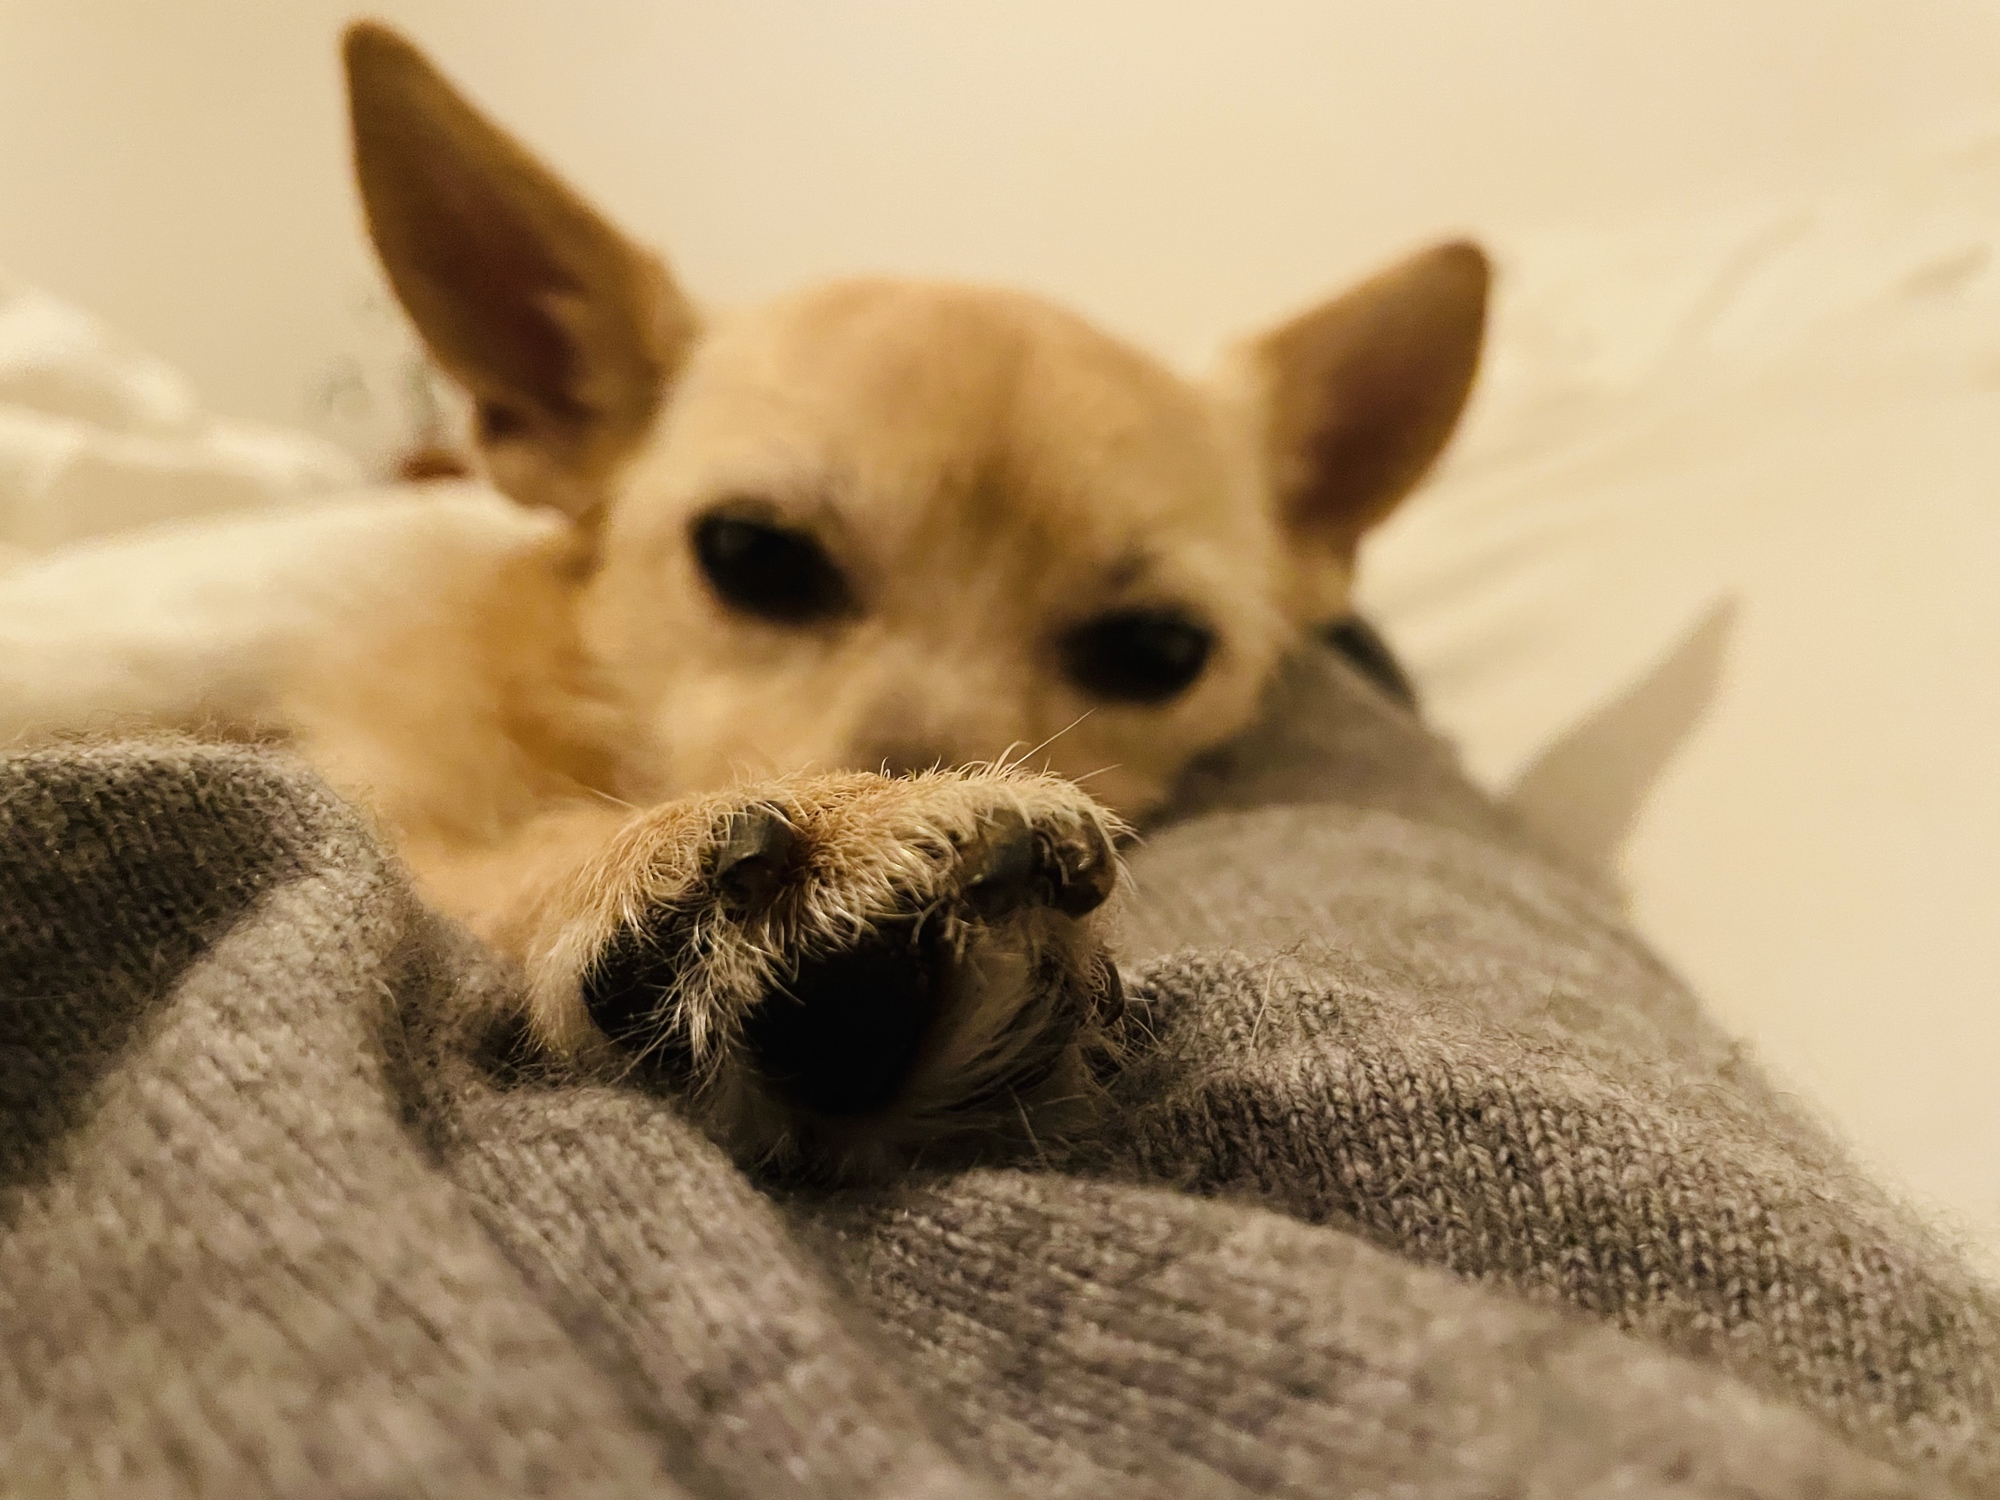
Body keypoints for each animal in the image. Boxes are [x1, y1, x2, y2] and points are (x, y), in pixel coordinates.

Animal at [0, 21, 1487, 1179]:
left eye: (1158, 651)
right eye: (754, 556)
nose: (898, 773)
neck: (571, 698)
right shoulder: (385, 786)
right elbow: (491, 856)